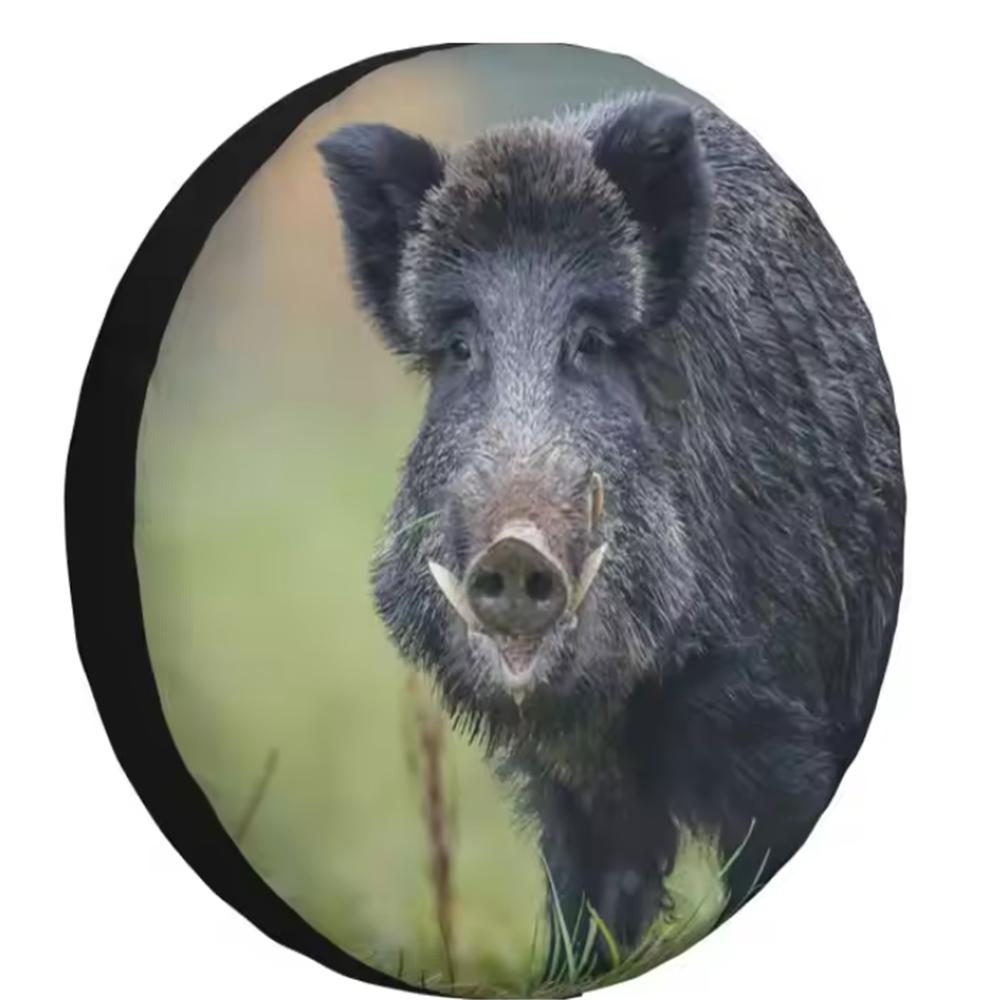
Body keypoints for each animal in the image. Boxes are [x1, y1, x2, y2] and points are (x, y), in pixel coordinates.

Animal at [317, 90, 904, 964]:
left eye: (591, 342)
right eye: (459, 347)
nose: (515, 548)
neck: (615, 708)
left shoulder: (773, 714)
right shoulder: (570, 787)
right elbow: (589, 906)